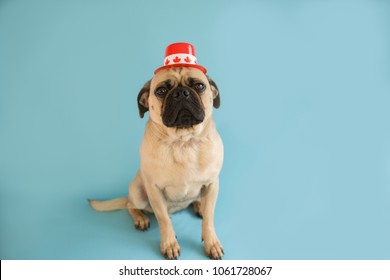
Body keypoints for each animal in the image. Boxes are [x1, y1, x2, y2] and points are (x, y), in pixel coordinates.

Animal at [88, 66, 222, 260]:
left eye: (199, 86)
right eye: (161, 91)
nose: (182, 93)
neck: (183, 142)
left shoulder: (212, 184)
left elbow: (209, 219)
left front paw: (211, 242)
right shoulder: (154, 189)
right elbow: (163, 220)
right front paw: (169, 244)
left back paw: (199, 206)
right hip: (138, 192)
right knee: (130, 205)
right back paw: (141, 218)